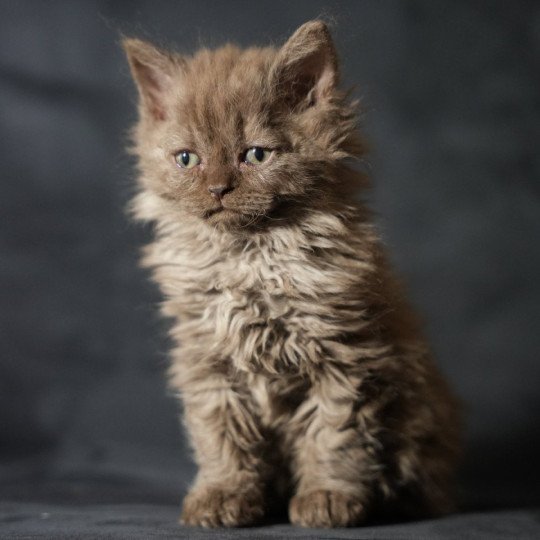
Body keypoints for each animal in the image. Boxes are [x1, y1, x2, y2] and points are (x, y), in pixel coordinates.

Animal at [124, 21, 462, 528]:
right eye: (187, 159)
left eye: (256, 155)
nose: (218, 189)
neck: (250, 261)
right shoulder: (209, 363)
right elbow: (220, 436)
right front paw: (223, 494)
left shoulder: (345, 358)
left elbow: (335, 434)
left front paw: (327, 497)